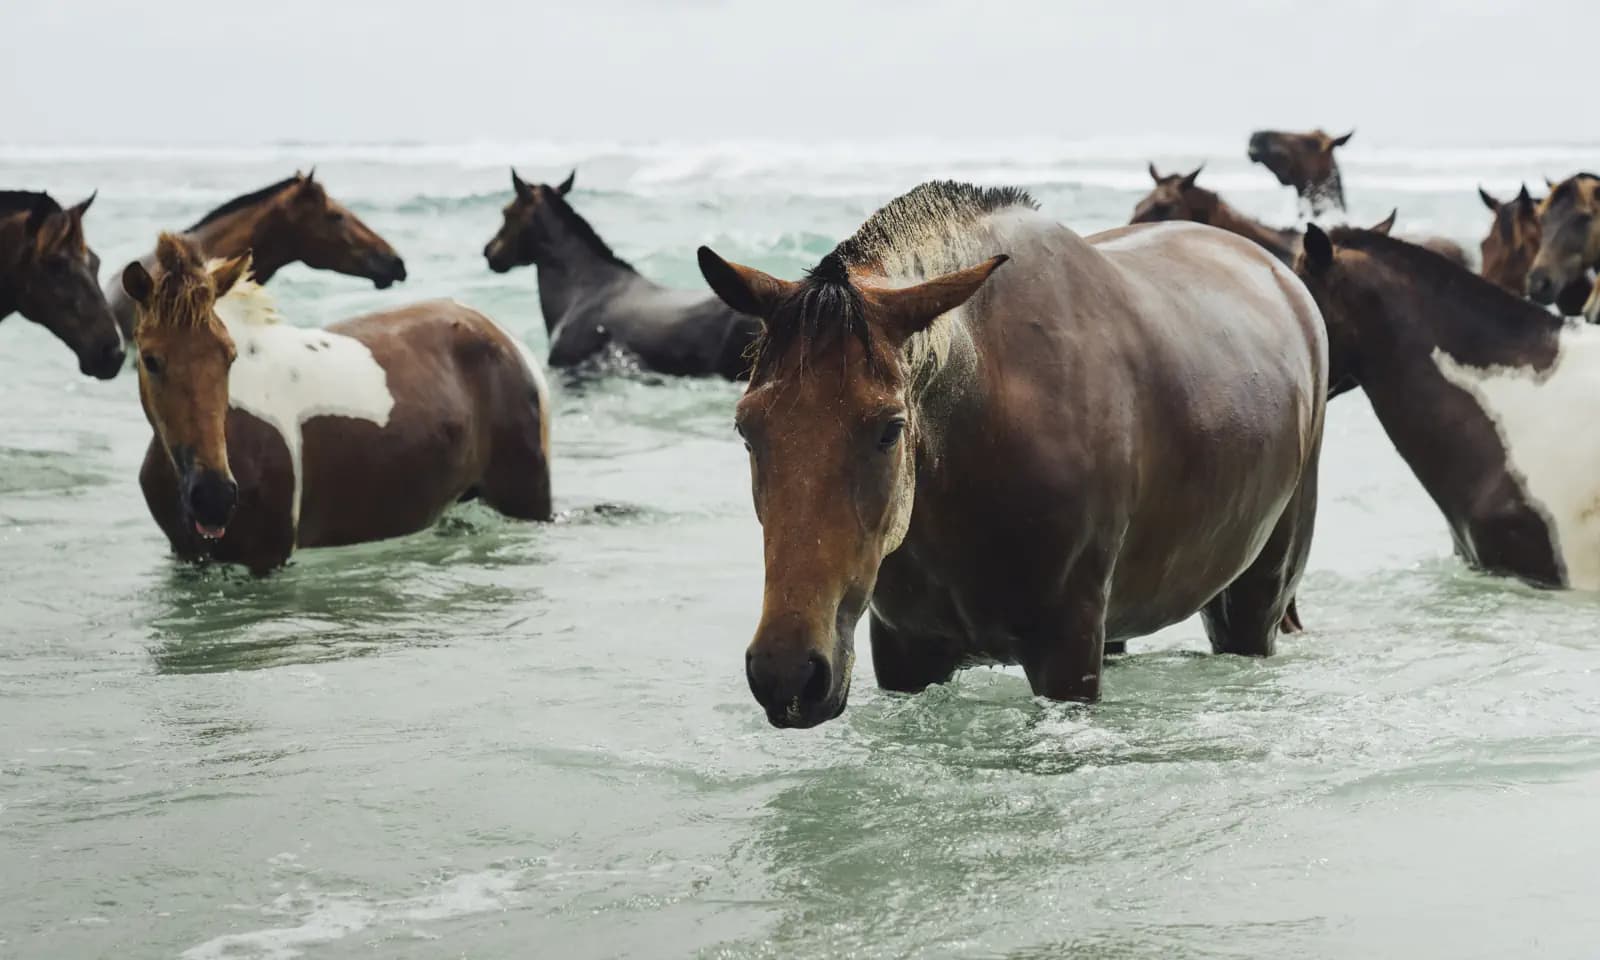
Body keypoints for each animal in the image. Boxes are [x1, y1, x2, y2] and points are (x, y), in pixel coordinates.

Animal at [121, 233, 551, 576]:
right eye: (151, 359)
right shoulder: (186, 556)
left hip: (527, 502)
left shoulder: (266, 559)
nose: (214, 497)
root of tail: (505, 339)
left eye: (229, 356)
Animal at [697, 181, 1327, 728]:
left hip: (1252, 603)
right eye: (748, 428)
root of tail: (1285, 280)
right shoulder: (906, 653)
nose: (787, 674)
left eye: (890, 429)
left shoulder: (1067, 655)